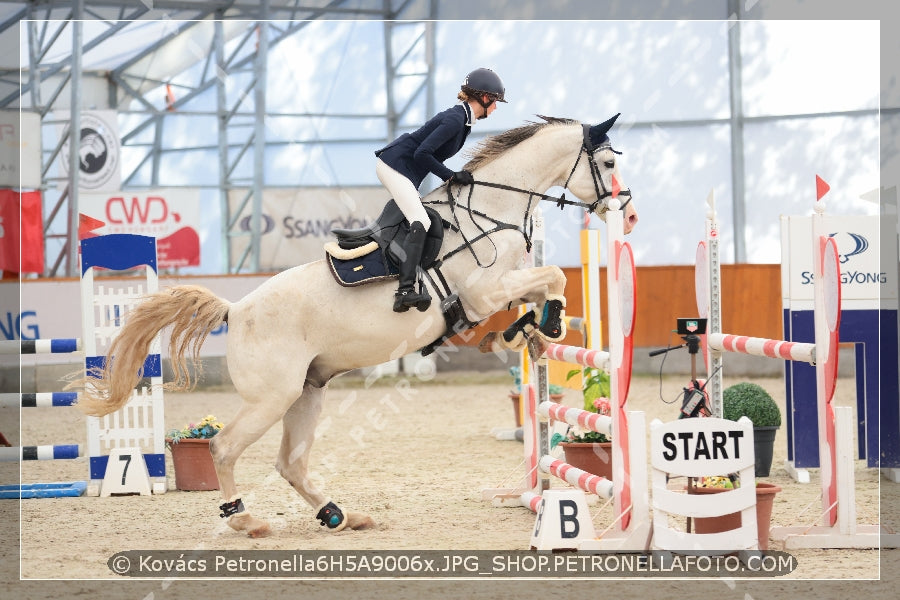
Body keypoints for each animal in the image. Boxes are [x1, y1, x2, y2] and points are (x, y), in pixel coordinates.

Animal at [79, 115, 640, 536]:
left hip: (307, 392)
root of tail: (235, 311)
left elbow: (545, 284)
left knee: (290, 463)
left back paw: (340, 515)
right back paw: (244, 521)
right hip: (271, 397)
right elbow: (552, 276)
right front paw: (546, 323)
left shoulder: (500, 288)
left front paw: (534, 327)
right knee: (223, 447)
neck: (490, 208)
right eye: (609, 163)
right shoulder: (484, 292)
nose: (629, 217)